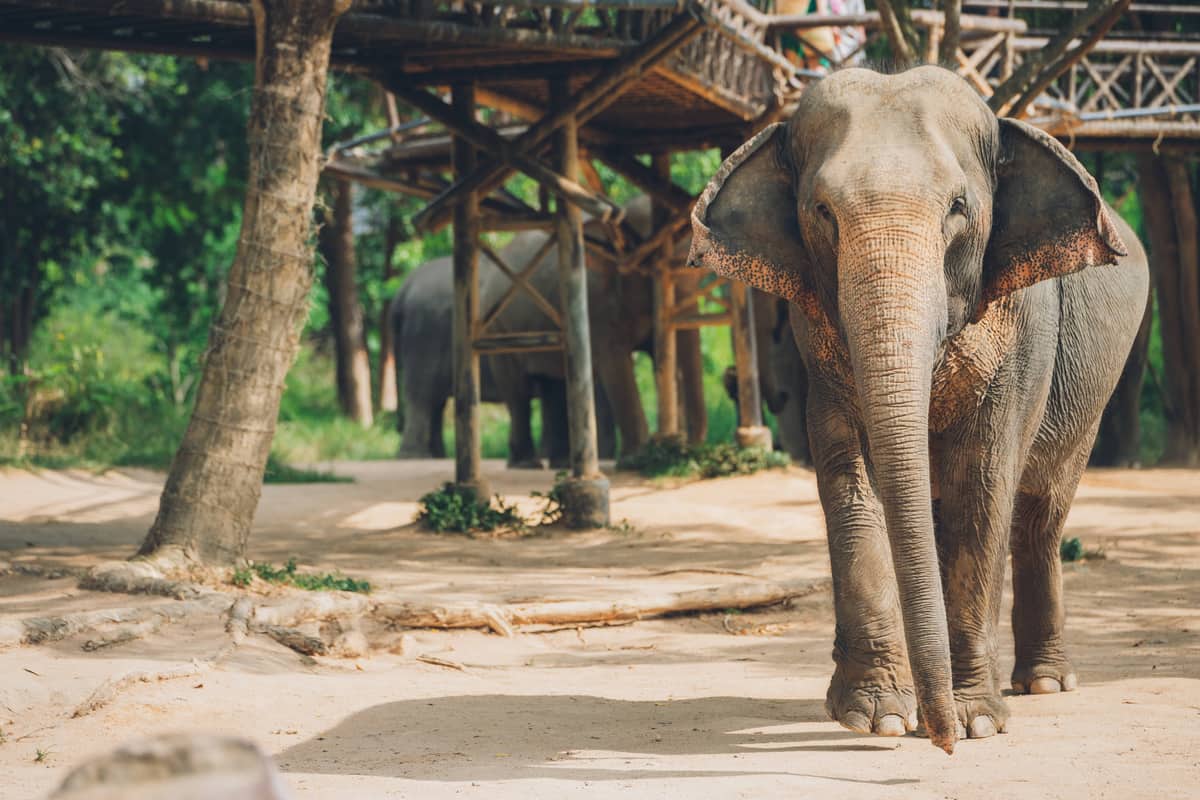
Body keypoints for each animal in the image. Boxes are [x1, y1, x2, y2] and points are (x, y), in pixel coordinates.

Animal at [390, 196, 705, 465]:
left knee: (548, 386)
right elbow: (613, 365)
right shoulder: (596, 301)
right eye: (653, 265)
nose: (689, 450)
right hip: (479, 331)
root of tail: (402, 291)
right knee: (500, 393)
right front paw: (637, 458)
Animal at [688, 66, 1148, 752]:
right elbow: (851, 485)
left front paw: (976, 720)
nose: (941, 741)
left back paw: (1043, 684)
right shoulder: (816, 342)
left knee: (1041, 511)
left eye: (958, 208)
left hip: (1093, 387)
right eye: (822, 211)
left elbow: (980, 488)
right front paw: (876, 717)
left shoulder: (1025, 333)